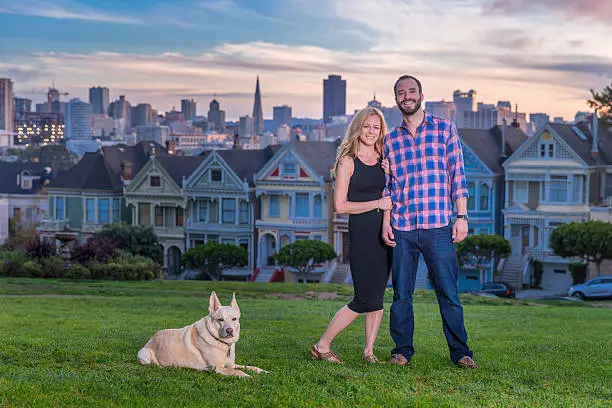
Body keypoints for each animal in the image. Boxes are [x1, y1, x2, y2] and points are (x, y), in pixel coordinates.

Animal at [139, 292, 268, 378]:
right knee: (152, 364)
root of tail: (152, 337)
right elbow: (238, 372)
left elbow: (250, 367)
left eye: (234, 319)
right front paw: (248, 376)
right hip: (144, 353)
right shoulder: (218, 368)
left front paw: (263, 371)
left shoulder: (232, 365)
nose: (229, 330)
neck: (220, 341)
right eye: (220, 320)